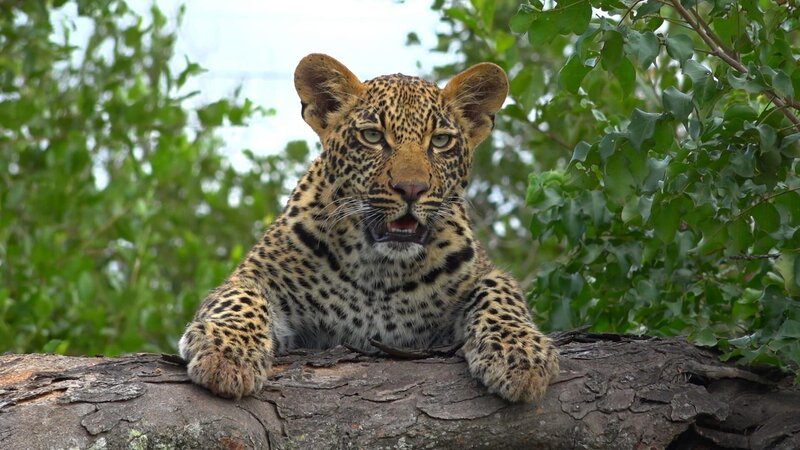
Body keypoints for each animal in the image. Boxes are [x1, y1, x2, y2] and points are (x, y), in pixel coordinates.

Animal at [178, 53, 559, 403]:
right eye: (373, 136)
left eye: (440, 141)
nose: (412, 188)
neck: (381, 272)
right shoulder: (257, 276)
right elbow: (240, 296)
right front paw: (227, 352)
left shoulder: (478, 270)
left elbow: (500, 291)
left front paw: (520, 355)